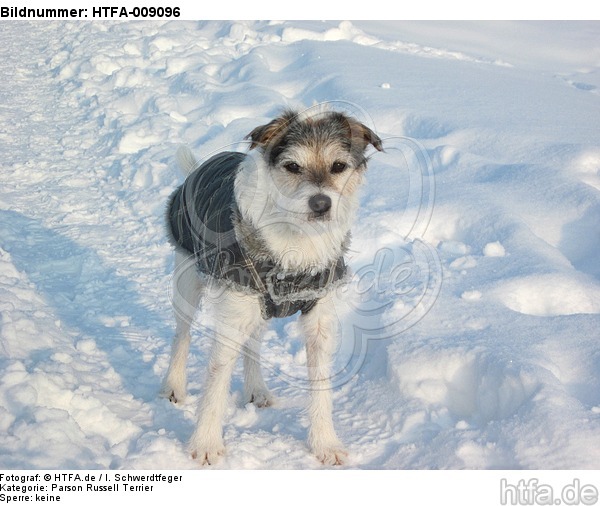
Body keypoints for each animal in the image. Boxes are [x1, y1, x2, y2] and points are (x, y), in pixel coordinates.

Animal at [159, 106, 382, 466]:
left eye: (338, 166)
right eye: (292, 166)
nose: (321, 204)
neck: (296, 242)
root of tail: (197, 168)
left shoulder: (318, 316)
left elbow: (321, 384)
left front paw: (325, 444)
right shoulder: (233, 311)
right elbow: (216, 382)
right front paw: (206, 444)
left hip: (258, 306)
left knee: (253, 343)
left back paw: (257, 389)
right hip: (189, 280)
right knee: (182, 334)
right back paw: (173, 386)